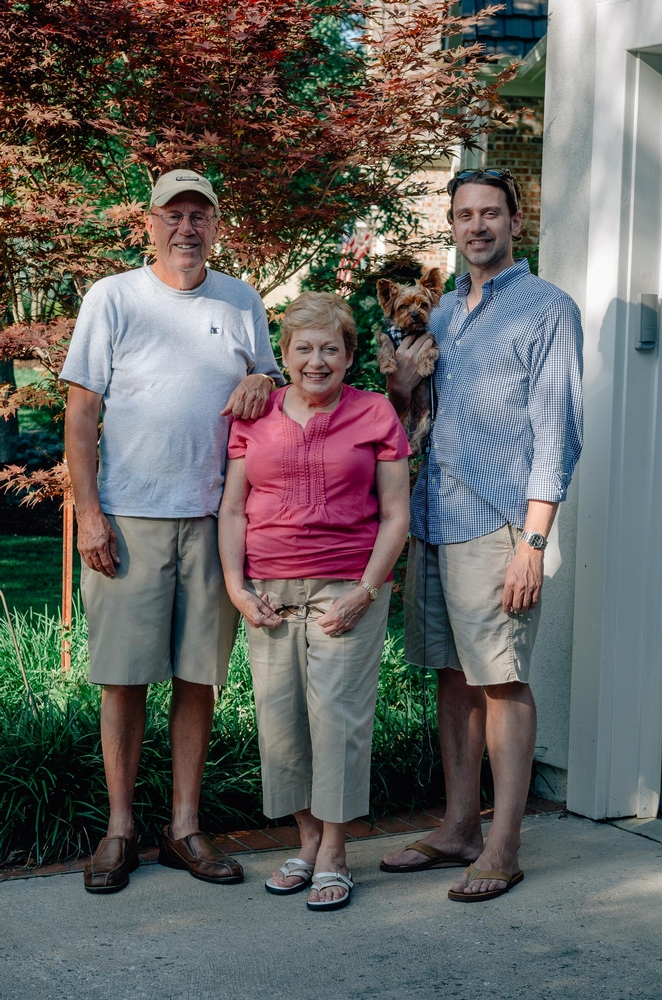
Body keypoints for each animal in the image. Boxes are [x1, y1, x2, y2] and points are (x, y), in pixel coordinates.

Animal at [376, 266, 444, 454]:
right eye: (403, 306)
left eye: (423, 304)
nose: (415, 315)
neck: (408, 331)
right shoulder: (387, 338)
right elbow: (386, 349)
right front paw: (388, 366)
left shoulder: (430, 342)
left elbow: (428, 353)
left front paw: (425, 368)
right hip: (404, 417)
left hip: (426, 418)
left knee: (418, 437)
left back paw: (413, 447)